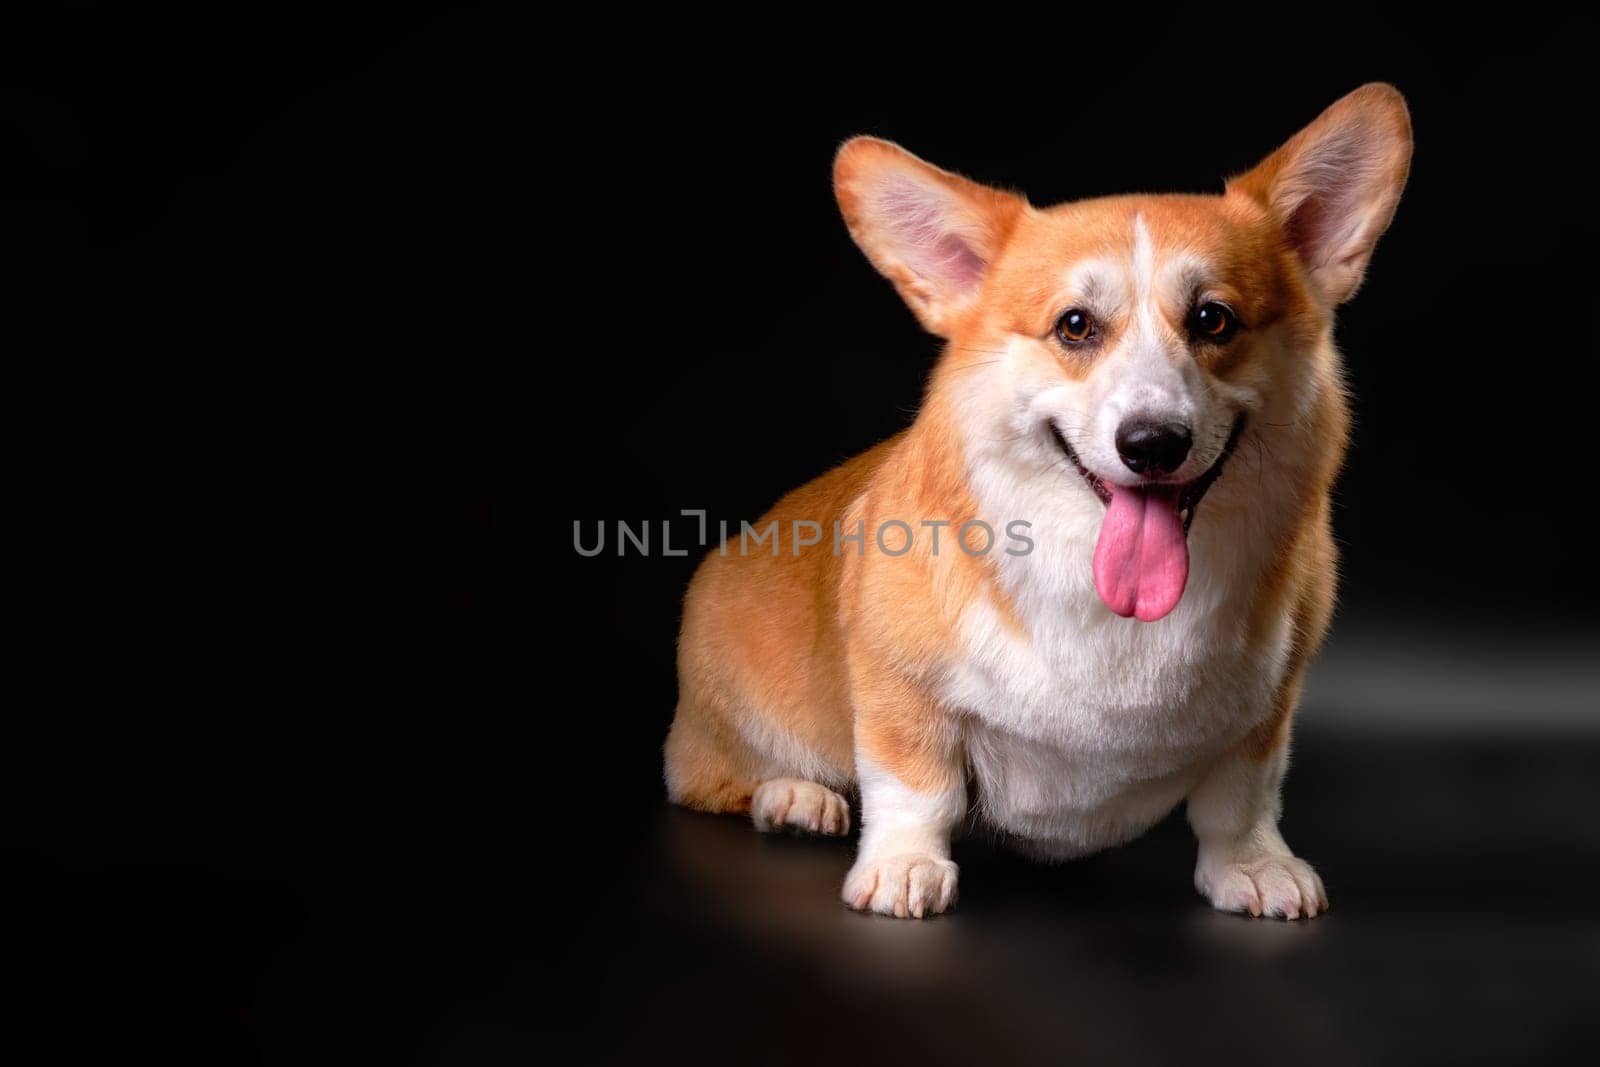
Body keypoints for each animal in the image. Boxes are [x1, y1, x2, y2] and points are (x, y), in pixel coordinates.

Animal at [662, 85, 1414, 921]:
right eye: (1075, 325)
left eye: (1213, 318)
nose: (1153, 443)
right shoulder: (899, 686)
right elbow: (913, 783)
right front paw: (902, 866)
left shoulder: (1269, 709)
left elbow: (1242, 796)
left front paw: (1253, 864)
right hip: (722, 724)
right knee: (718, 779)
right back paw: (796, 796)